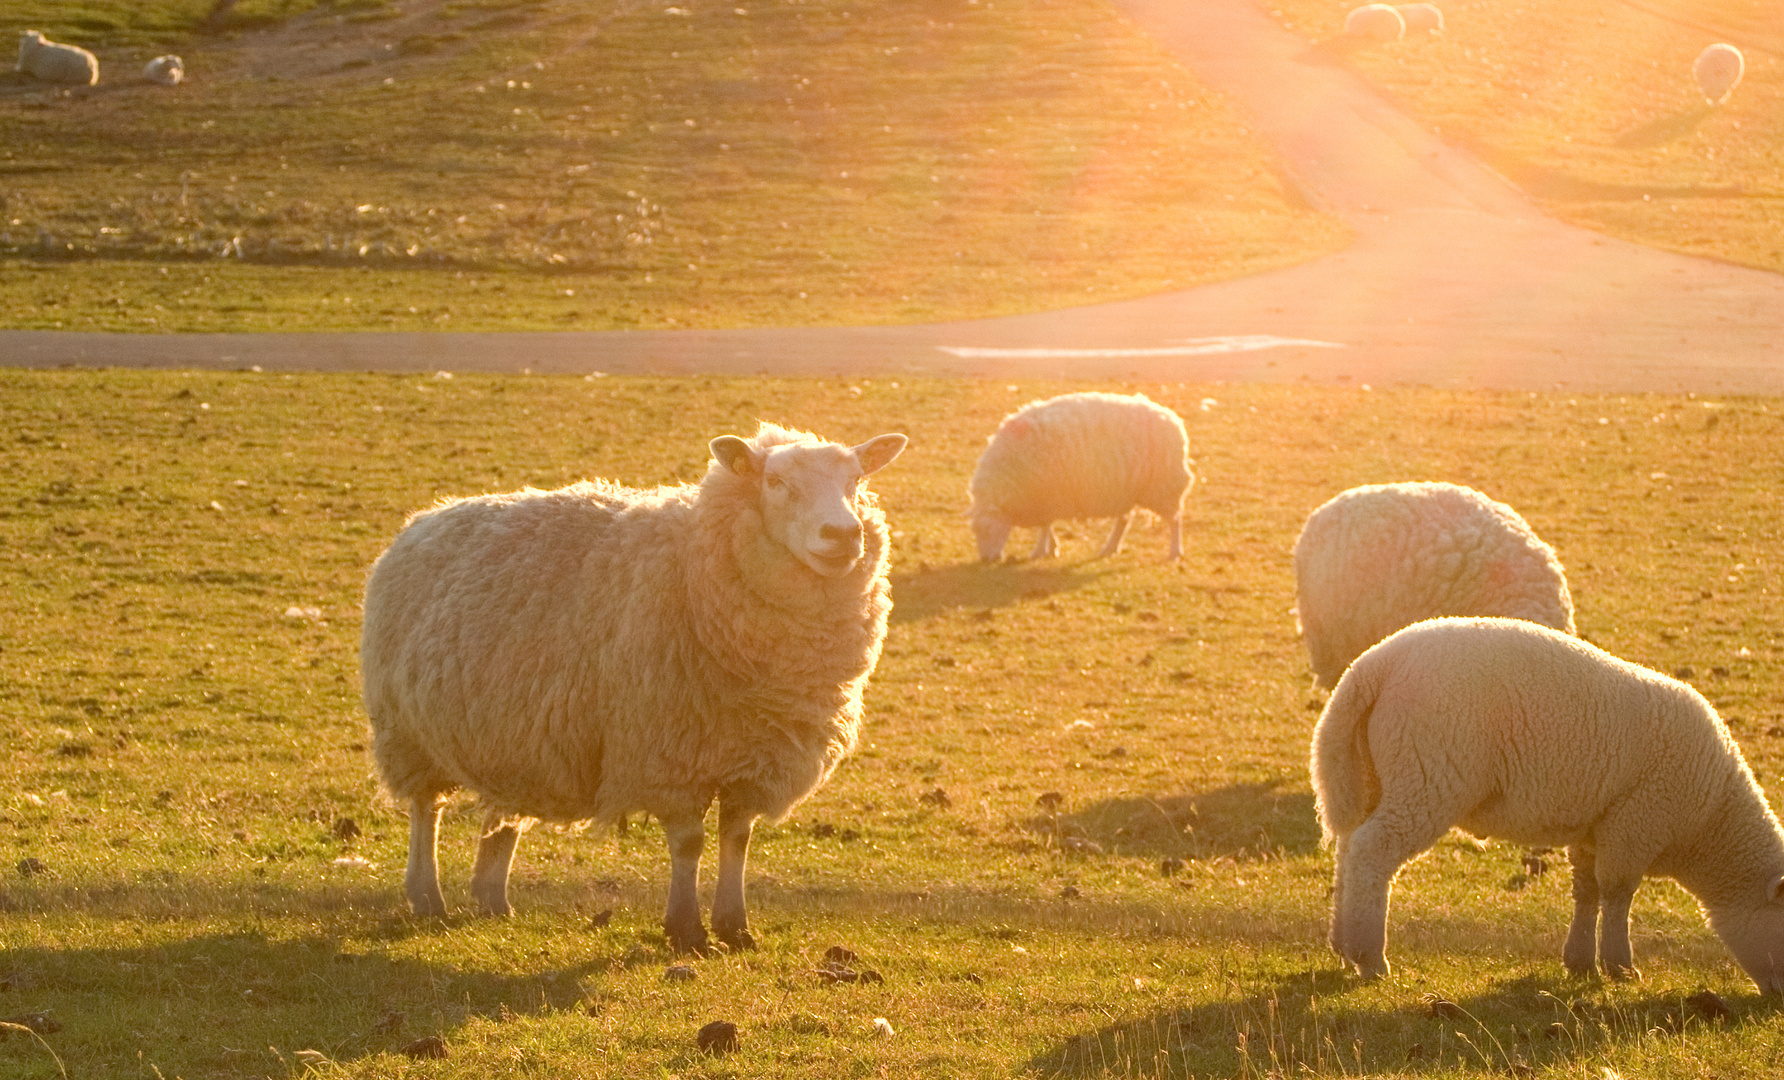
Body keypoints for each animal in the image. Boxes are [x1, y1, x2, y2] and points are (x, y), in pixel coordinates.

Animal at [358, 421, 906, 949]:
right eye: (775, 482)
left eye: (857, 480)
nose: (843, 534)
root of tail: (426, 517)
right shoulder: (669, 755)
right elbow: (689, 843)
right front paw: (686, 931)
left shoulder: (754, 755)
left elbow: (737, 838)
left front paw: (735, 927)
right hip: (408, 732)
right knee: (426, 810)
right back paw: (427, 896)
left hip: (511, 738)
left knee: (502, 812)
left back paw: (492, 898)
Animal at [1305, 617, 1784, 992]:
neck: (1710, 821)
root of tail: (1372, 667)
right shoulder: (1637, 821)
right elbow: (1618, 894)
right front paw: (1620, 966)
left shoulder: (1596, 827)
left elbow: (1587, 891)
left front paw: (1580, 962)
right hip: (1427, 774)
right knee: (1372, 851)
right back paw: (1369, 958)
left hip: (1373, 773)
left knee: (1349, 846)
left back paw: (1342, 945)